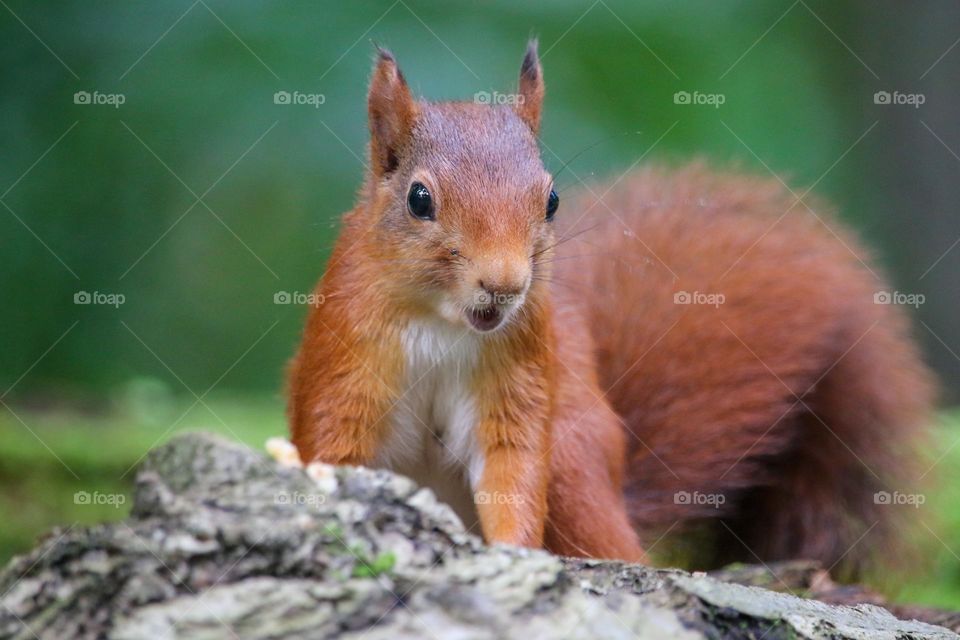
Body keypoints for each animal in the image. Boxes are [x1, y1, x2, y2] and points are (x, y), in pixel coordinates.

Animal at [288, 40, 935, 576]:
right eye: (419, 199)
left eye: (551, 199)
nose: (504, 284)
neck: (441, 325)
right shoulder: (346, 367)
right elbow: (336, 448)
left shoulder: (517, 380)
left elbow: (512, 469)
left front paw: (515, 553)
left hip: (574, 461)